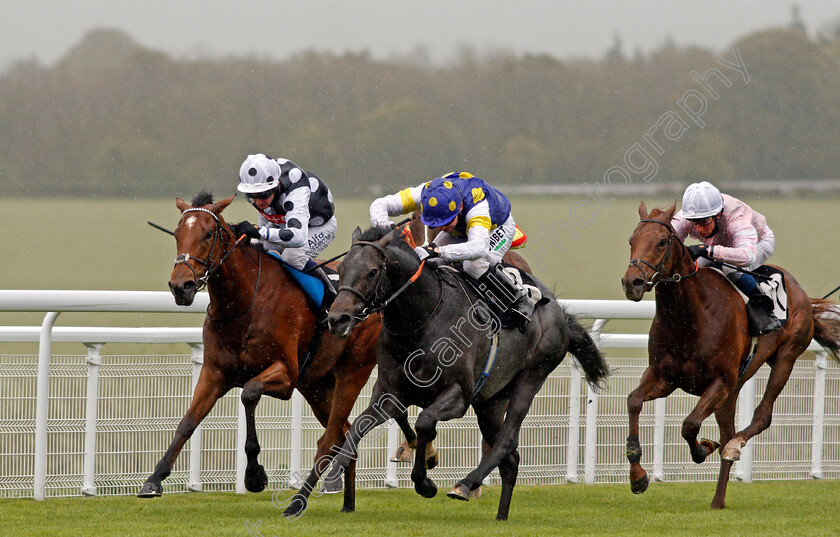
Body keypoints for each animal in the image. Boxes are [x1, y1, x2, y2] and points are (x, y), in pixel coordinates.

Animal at [141, 192, 426, 510]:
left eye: (207, 234)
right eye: (178, 234)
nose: (181, 286)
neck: (244, 303)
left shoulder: (286, 375)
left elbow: (249, 392)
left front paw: (255, 475)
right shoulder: (214, 372)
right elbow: (188, 421)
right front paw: (154, 479)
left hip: (352, 371)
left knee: (337, 431)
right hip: (317, 385)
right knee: (343, 432)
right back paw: (345, 502)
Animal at [306, 223, 608, 520]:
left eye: (372, 271)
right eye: (342, 268)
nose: (338, 319)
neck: (421, 318)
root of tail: (560, 311)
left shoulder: (459, 395)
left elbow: (424, 422)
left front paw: (425, 481)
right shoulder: (389, 392)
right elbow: (358, 425)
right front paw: (332, 476)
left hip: (532, 375)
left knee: (506, 440)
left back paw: (464, 484)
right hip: (491, 400)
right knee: (510, 457)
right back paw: (501, 515)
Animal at [616, 201, 840, 506]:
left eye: (662, 242)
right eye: (631, 241)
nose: (633, 283)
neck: (690, 316)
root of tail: (802, 294)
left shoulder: (720, 382)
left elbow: (689, 425)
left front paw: (703, 448)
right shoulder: (664, 377)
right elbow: (634, 401)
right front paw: (637, 476)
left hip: (785, 358)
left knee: (759, 418)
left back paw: (732, 448)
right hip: (733, 390)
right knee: (728, 429)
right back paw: (718, 500)